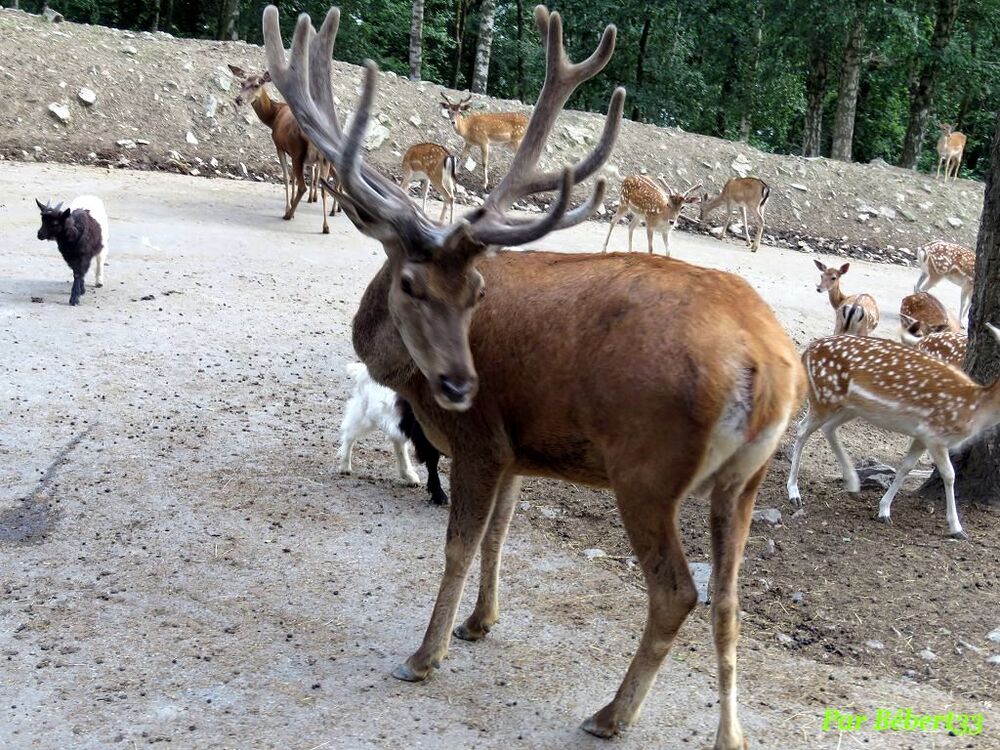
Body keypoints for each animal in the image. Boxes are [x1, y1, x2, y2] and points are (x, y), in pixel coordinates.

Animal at [229, 66, 338, 234]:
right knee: (324, 188)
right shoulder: (295, 154)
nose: (239, 99)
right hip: (323, 159)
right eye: (242, 82)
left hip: (299, 151)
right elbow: (293, 177)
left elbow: (287, 177)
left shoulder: (280, 146)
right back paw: (326, 226)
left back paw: (289, 214)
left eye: (257, 84)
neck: (273, 116)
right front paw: (292, 202)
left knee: (304, 186)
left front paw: (288, 206)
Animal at [340, 362, 450, 508]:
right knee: (350, 433)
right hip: (366, 412)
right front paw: (439, 496)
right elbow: (432, 462)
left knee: (398, 443)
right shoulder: (425, 435)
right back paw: (345, 466)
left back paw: (409, 476)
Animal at [784, 330, 1000, 540]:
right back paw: (794, 492)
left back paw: (853, 484)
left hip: (851, 407)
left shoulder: (921, 435)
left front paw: (884, 511)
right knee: (802, 428)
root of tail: (808, 351)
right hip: (824, 396)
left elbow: (906, 467)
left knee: (828, 428)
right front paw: (957, 528)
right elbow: (949, 474)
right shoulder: (934, 434)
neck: (974, 410)